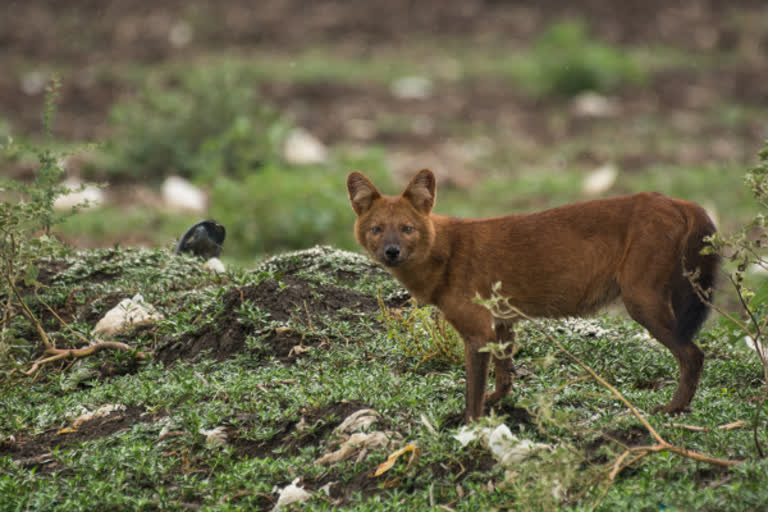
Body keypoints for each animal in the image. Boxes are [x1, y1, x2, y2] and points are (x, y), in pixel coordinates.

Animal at [348, 170, 720, 422]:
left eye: (407, 229)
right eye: (377, 229)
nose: (391, 252)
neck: (446, 253)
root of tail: (675, 200)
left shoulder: (477, 332)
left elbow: (473, 391)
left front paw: (470, 425)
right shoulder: (501, 322)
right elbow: (504, 374)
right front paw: (497, 402)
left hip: (642, 302)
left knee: (694, 354)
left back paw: (673, 408)